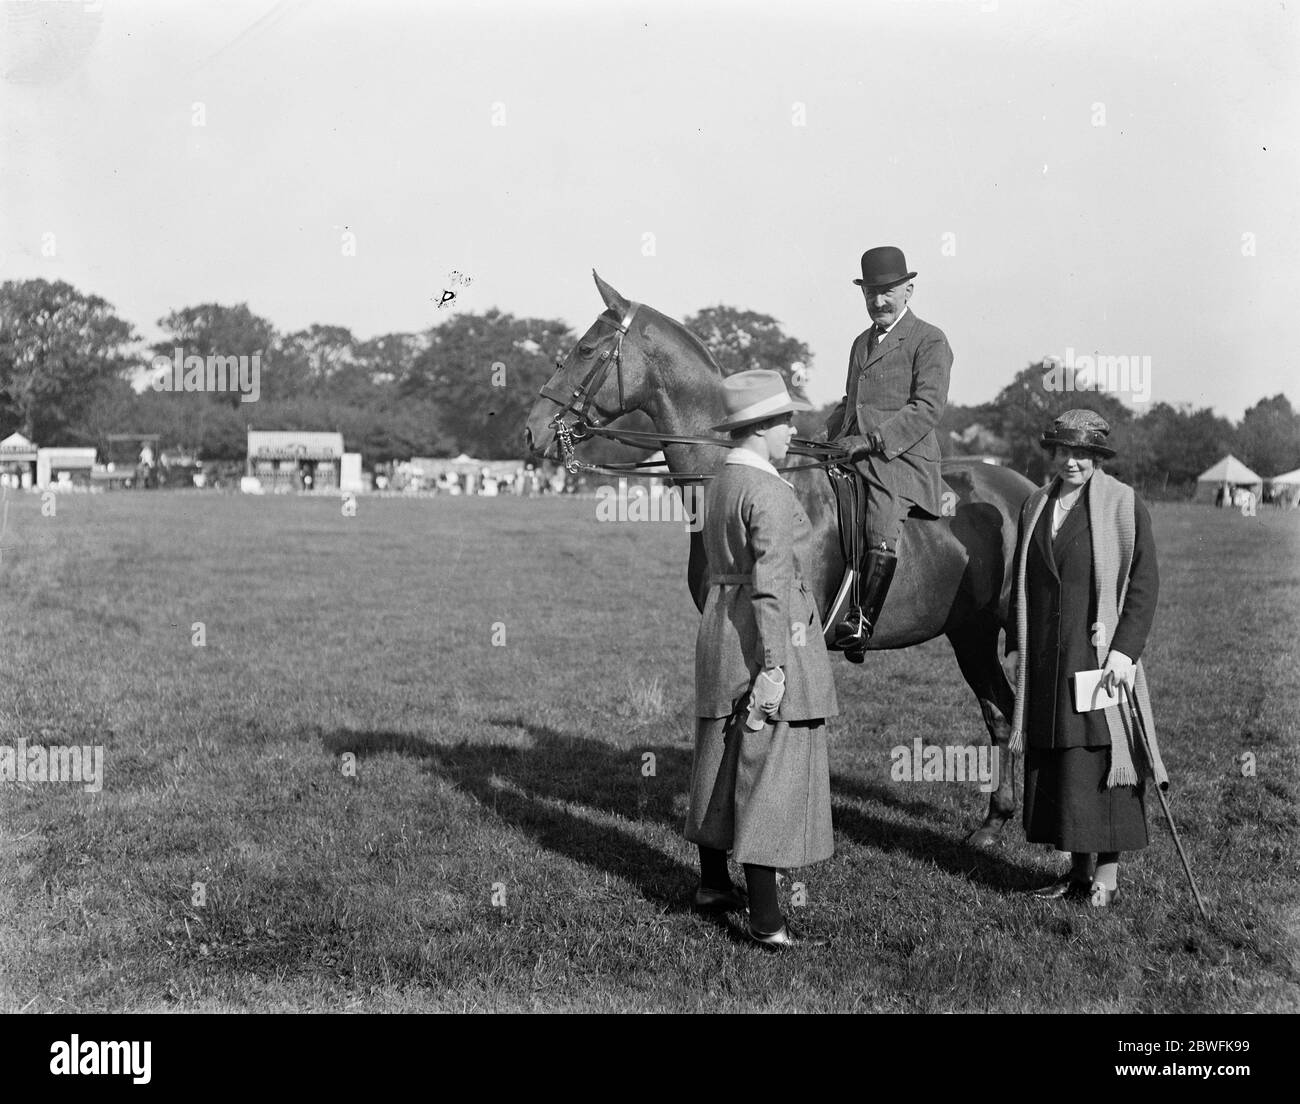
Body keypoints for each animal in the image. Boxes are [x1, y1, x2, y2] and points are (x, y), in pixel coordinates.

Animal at [520, 271, 1034, 837]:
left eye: (586, 349)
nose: (533, 429)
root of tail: (1026, 487)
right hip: (971, 634)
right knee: (1001, 712)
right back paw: (994, 820)